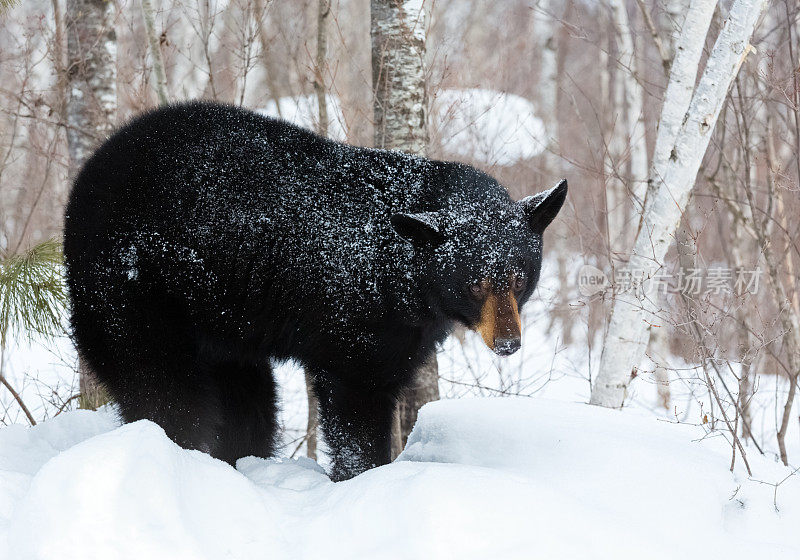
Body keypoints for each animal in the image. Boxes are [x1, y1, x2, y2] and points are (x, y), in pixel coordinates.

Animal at [65, 100, 568, 482]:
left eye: (519, 278)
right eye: (474, 282)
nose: (508, 342)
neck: (401, 270)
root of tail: (87, 175)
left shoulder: (408, 328)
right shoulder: (353, 317)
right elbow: (355, 399)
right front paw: (363, 477)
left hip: (222, 329)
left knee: (247, 400)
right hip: (131, 290)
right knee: (162, 387)